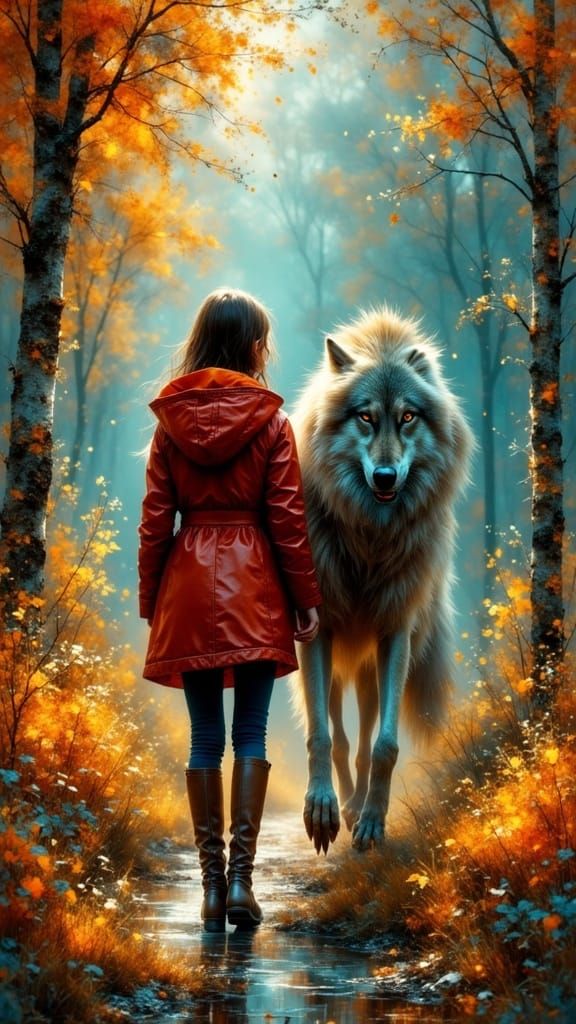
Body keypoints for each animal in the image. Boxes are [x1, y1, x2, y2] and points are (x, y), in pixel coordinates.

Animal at [290, 307, 473, 853]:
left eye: (408, 417)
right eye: (366, 417)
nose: (386, 477)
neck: (370, 537)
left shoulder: (396, 633)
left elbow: (385, 745)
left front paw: (371, 820)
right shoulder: (318, 633)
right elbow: (322, 736)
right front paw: (323, 811)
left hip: (372, 667)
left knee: (366, 733)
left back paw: (356, 808)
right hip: (333, 662)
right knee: (339, 733)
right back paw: (340, 806)